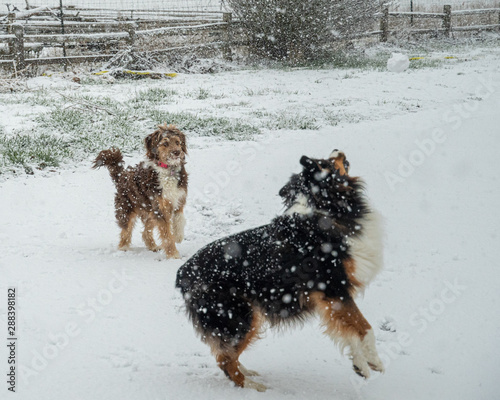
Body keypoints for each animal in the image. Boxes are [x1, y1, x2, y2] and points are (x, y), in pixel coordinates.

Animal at [178, 150, 384, 390]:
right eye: (325, 162)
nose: (337, 150)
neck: (324, 209)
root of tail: (182, 273)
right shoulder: (333, 287)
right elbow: (365, 328)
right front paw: (374, 362)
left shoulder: (331, 298)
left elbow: (350, 329)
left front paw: (360, 364)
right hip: (238, 316)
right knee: (224, 360)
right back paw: (253, 387)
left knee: (227, 354)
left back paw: (248, 372)